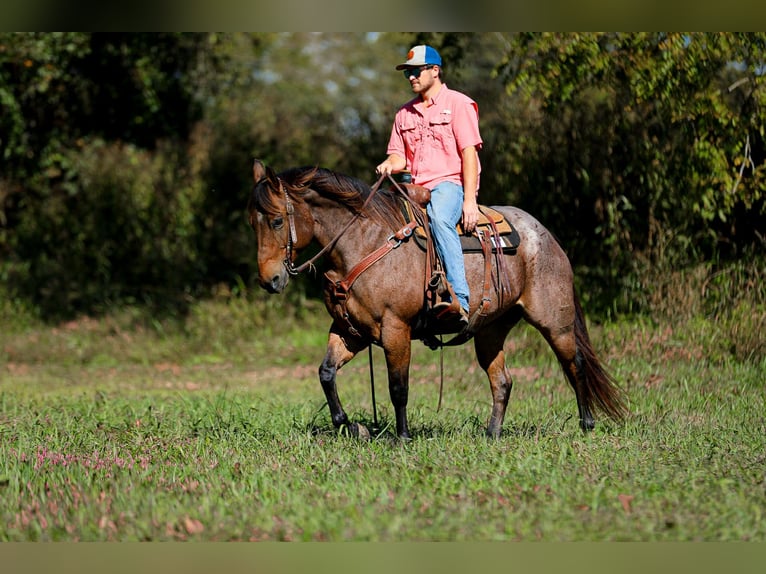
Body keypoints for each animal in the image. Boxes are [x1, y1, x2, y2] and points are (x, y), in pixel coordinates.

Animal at [247, 159, 626, 439]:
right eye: (253, 223)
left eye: (277, 221)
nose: (269, 280)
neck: (364, 243)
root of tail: (546, 236)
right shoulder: (350, 331)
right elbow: (326, 373)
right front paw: (352, 427)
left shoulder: (395, 330)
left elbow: (398, 386)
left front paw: (402, 437)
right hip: (490, 331)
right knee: (502, 380)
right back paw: (491, 433)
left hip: (554, 322)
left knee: (575, 363)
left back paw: (586, 425)